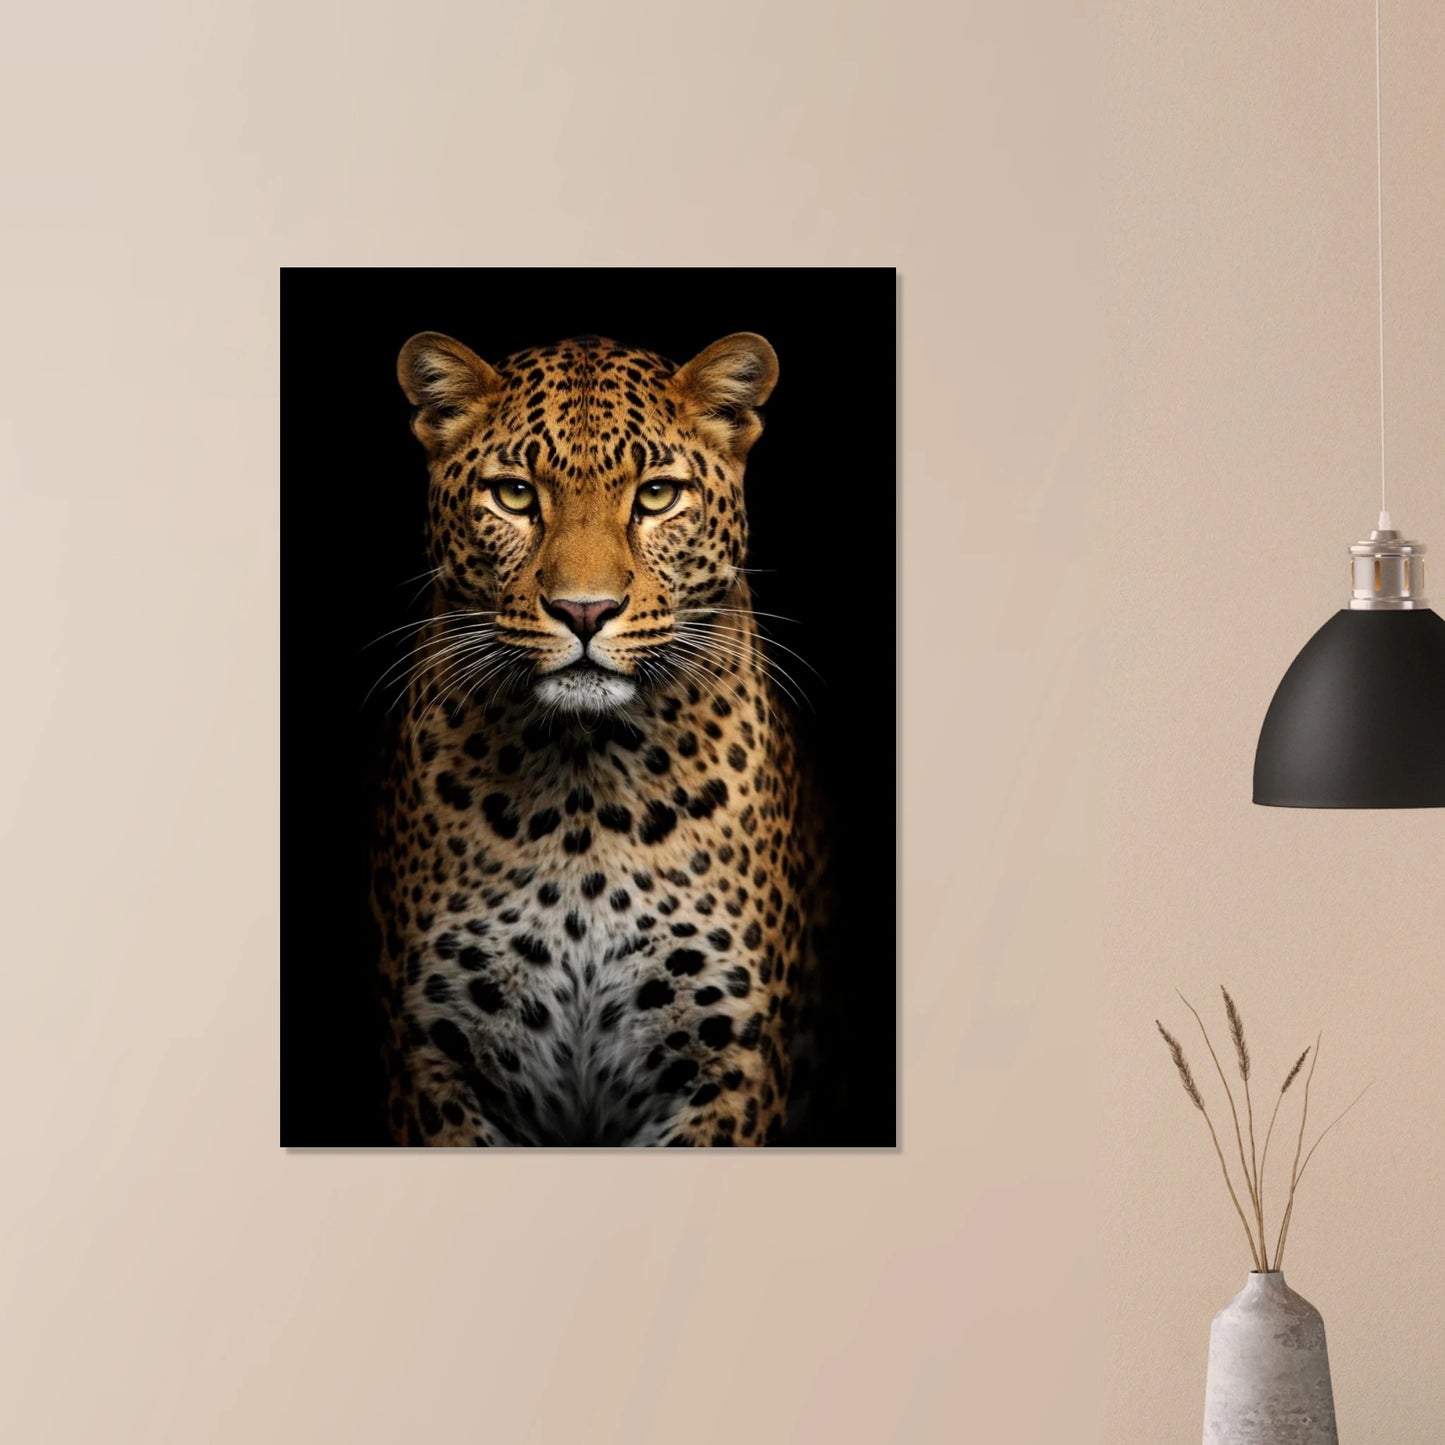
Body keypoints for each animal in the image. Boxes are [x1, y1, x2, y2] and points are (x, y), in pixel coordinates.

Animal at [369, 328, 828, 1146]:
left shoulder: (726, 1064)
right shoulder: (434, 1058)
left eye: (657, 495)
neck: (583, 786)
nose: (585, 611)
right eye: (515, 494)